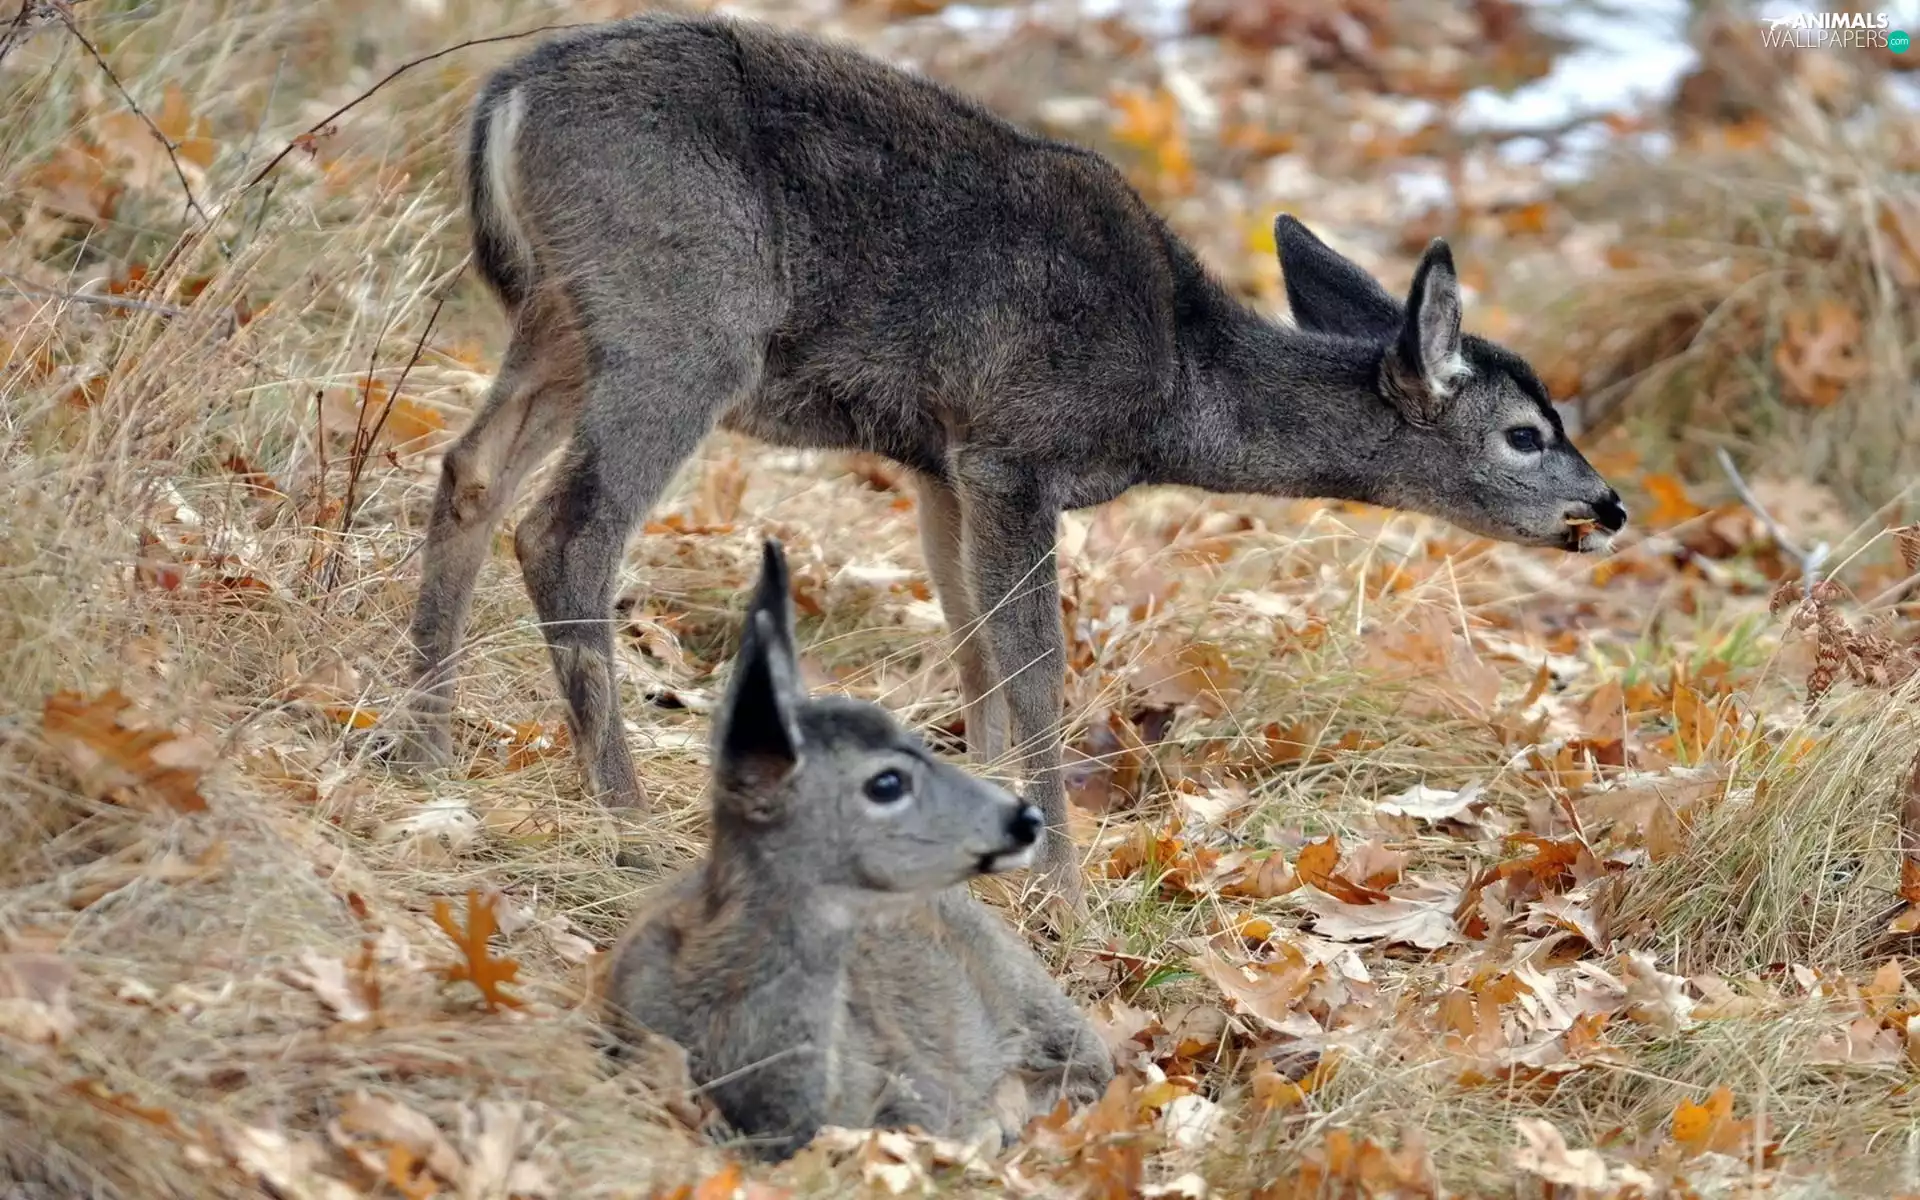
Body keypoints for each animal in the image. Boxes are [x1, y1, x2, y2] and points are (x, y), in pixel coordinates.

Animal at [392, 12, 1628, 920]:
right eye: (1525, 432)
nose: (1609, 506)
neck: (1175, 385)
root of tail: (510, 97)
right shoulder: (1016, 448)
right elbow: (1036, 673)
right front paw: (1067, 898)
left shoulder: (942, 461)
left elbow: (975, 655)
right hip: (683, 319)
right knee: (567, 530)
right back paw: (625, 817)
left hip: (564, 316)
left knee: (468, 472)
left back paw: (424, 751)